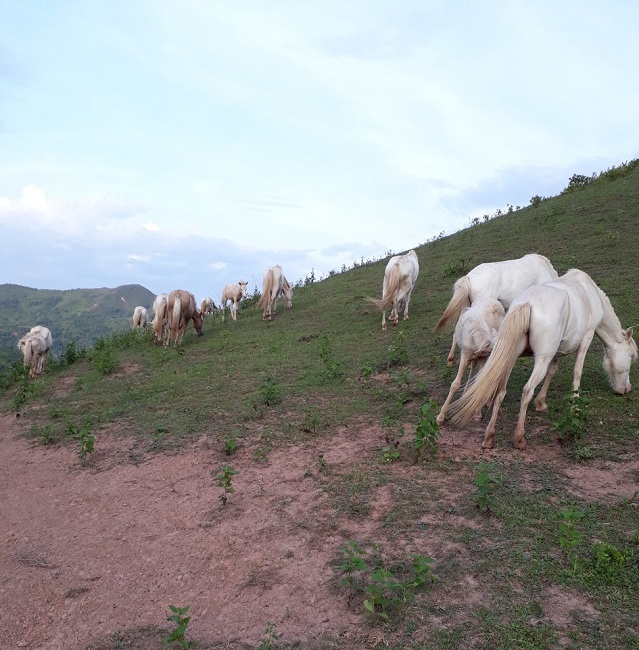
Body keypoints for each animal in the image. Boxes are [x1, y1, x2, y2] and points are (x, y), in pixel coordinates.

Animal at [438, 298, 508, 426]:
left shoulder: (483, 357)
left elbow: (479, 381)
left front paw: (477, 413)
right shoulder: (466, 355)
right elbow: (455, 385)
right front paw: (441, 416)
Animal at [450, 268, 639, 446]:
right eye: (631, 356)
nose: (626, 389)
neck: (589, 293)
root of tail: (526, 303)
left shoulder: (558, 350)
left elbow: (552, 371)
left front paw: (541, 403)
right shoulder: (586, 338)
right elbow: (577, 372)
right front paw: (575, 405)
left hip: (510, 358)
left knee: (500, 392)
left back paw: (489, 438)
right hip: (540, 359)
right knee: (527, 390)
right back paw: (519, 439)